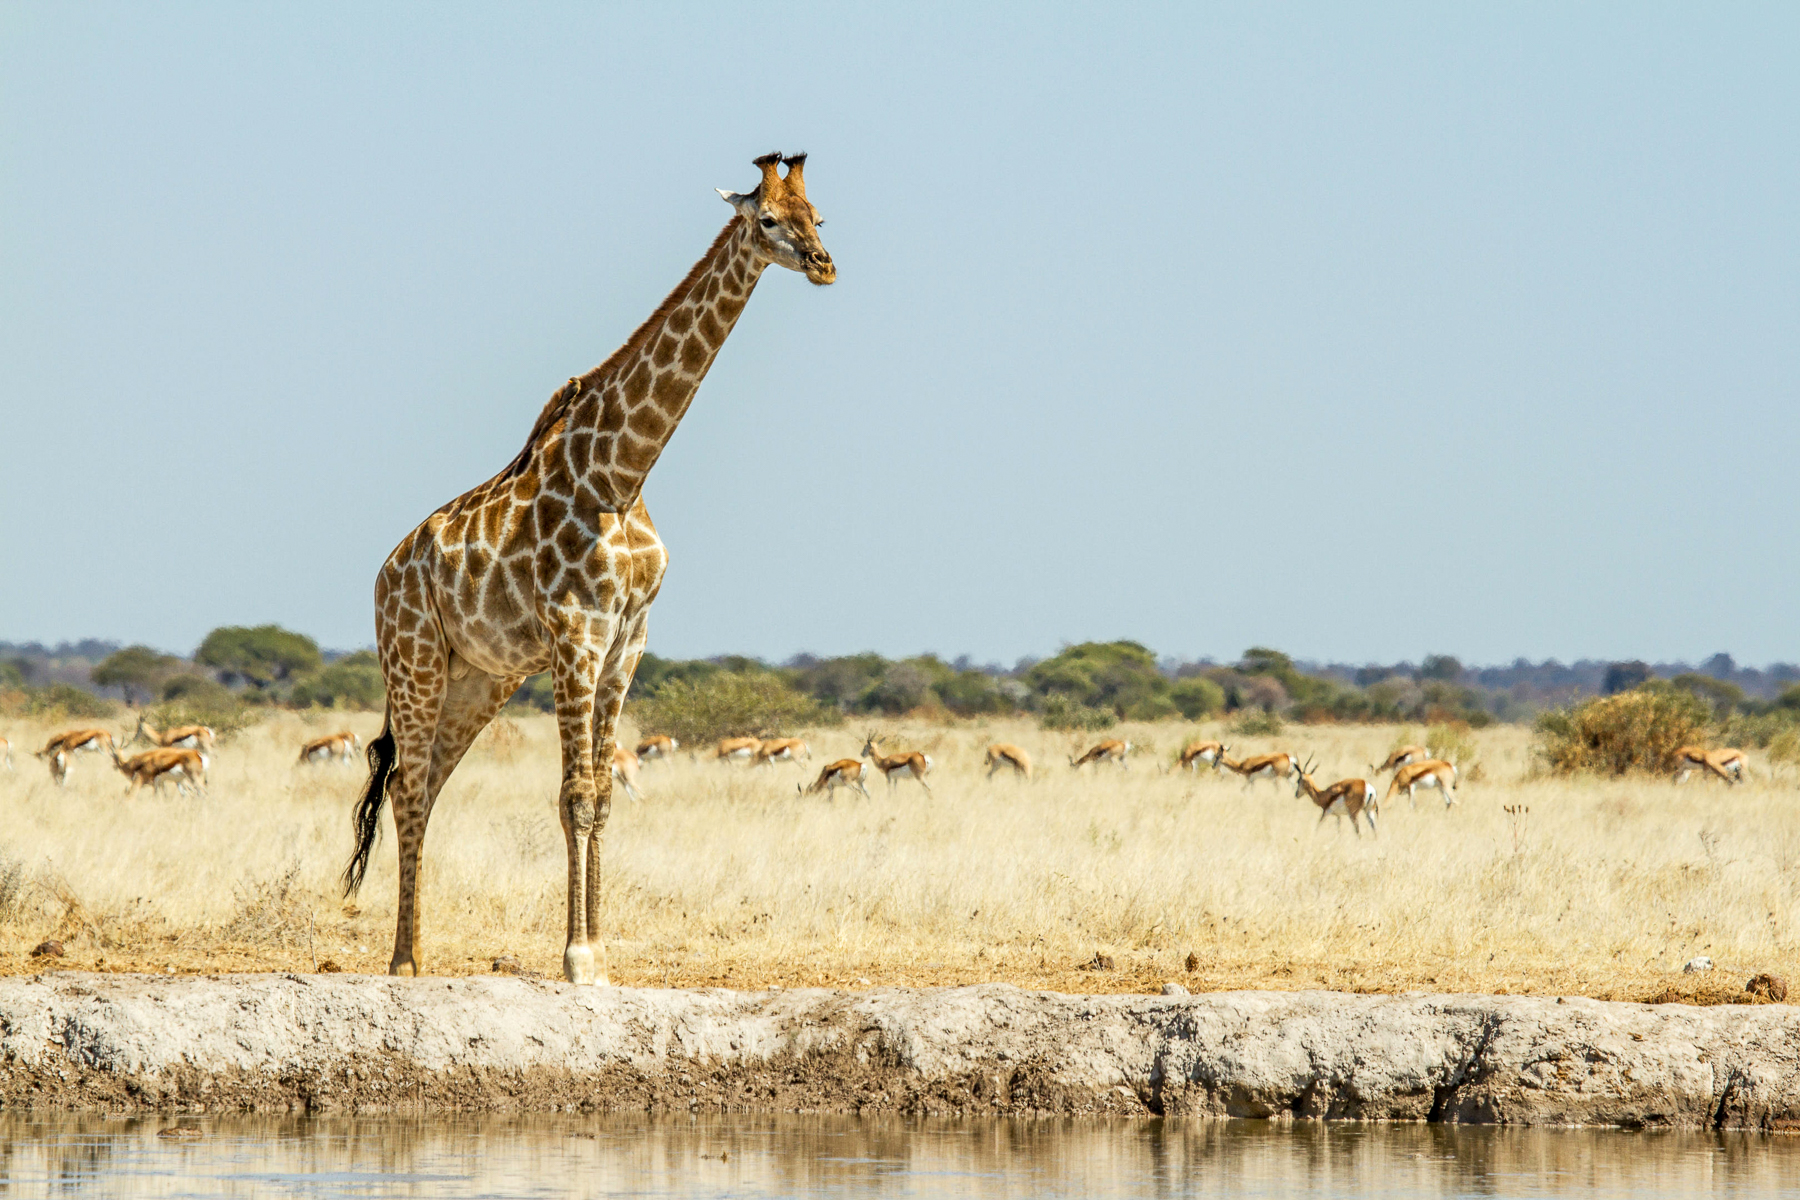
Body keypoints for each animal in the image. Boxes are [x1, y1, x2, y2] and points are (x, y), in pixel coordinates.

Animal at [342, 152, 834, 984]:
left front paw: (600, 954)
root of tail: (385, 571)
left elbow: (603, 794)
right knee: (406, 786)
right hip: (414, 661)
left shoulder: (628, 641)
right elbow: (573, 794)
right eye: (768, 219)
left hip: (481, 679)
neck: (622, 474)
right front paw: (574, 957)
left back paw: (419, 951)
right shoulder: (577, 633)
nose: (826, 264)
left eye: (818, 216)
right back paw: (403, 963)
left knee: (425, 784)